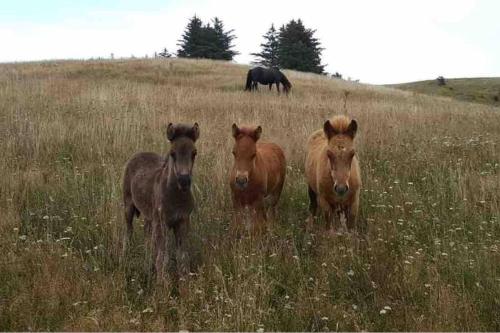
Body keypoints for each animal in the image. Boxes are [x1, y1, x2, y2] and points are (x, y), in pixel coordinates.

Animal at [122, 122, 199, 278]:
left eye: (194, 153)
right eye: (172, 153)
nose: (184, 181)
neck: (176, 198)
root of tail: (139, 153)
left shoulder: (182, 221)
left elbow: (183, 257)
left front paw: (184, 282)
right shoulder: (162, 224)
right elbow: (163, 258)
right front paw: (162, 282)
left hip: (149, 215)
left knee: (147, 235)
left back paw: (147, 262)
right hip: (128, 206)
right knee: (128, 231)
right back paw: (125, 256)